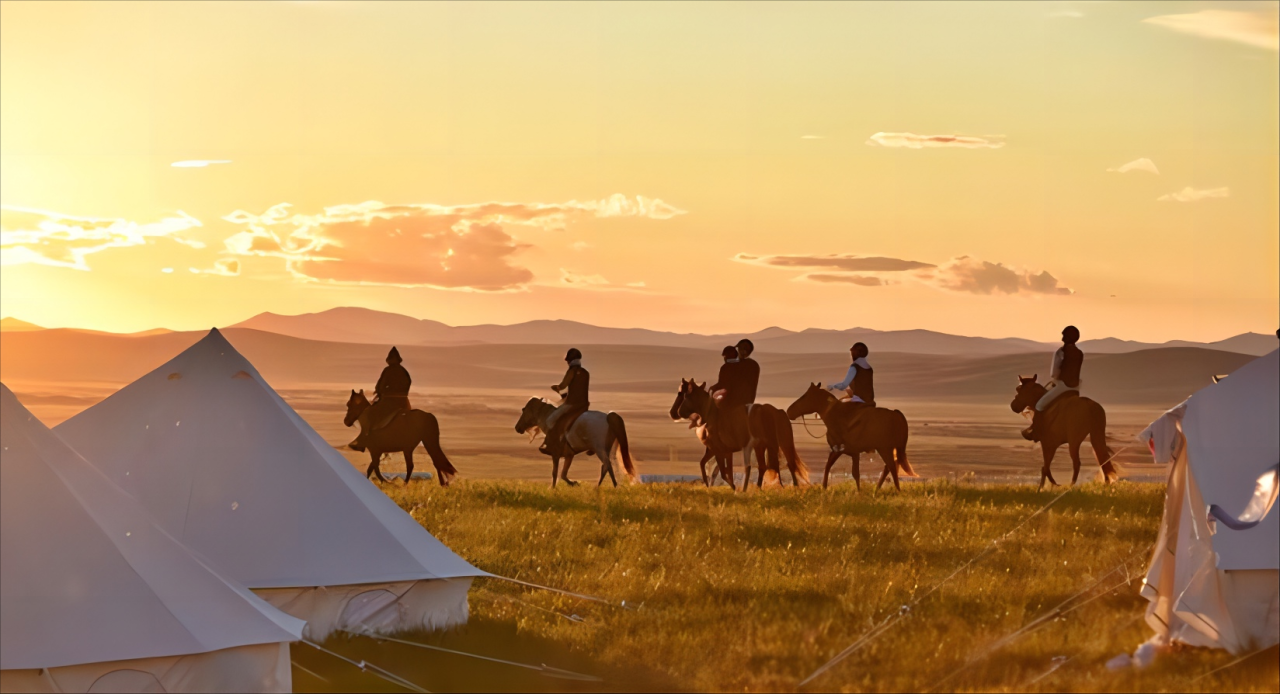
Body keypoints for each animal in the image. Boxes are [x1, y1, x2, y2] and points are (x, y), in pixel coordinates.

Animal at [783, 384, 916, 491]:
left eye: (805, 396)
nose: (789, 411)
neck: (837, 417)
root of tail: (895, 413)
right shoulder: (838, 450)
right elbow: (828, 466)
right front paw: (824, 487)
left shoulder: (853, 452)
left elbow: (855, 473)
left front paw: (858, 492)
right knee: (888, 467)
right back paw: (877, 489)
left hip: (885, 449)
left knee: (892, 467)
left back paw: (897, 490)